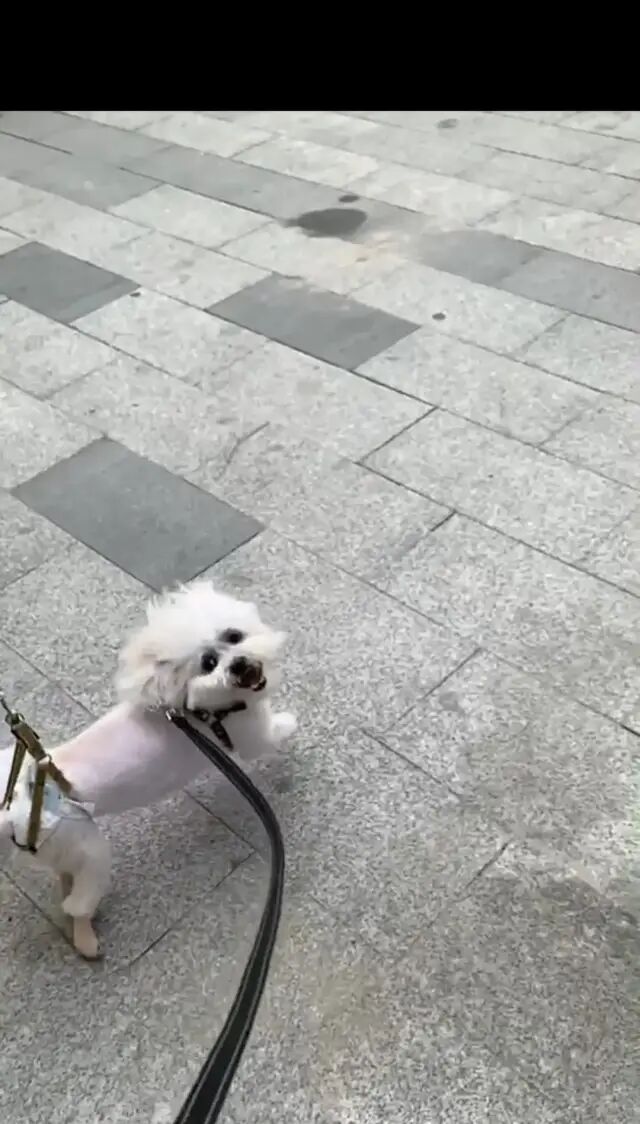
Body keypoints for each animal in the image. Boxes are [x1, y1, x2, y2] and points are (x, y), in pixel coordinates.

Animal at [0, 581, 296, 959]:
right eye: (208, 663)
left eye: (233, 636)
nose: (240, 665)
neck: (196, 707)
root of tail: (19, 807)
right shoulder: (248, 734)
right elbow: (271, 733)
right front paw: (290, 723)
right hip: (90, 848)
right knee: (79, 903)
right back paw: (86, 939)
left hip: (64, 848)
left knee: (66, 878)